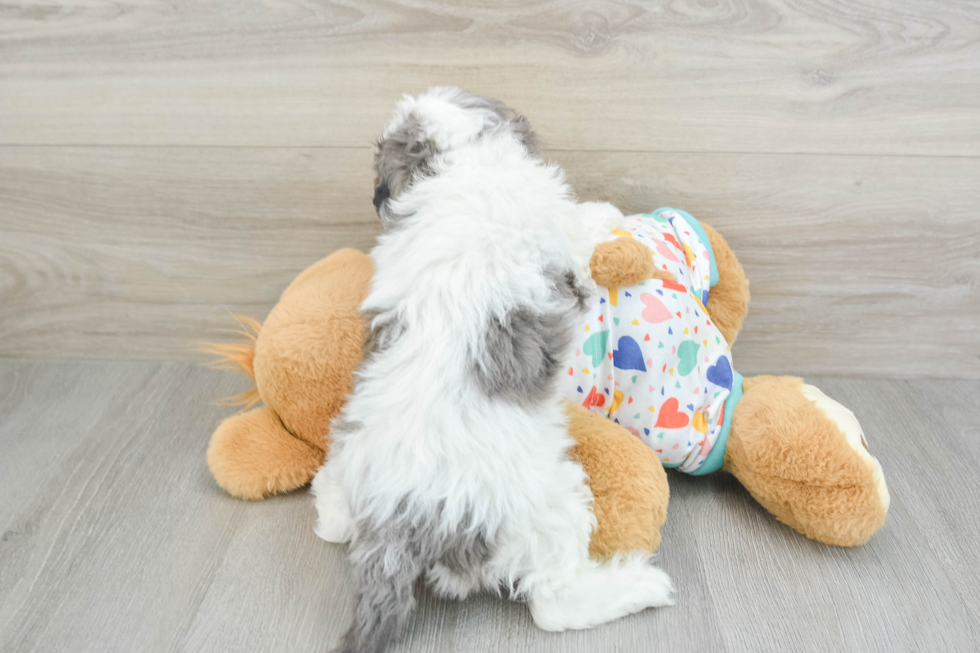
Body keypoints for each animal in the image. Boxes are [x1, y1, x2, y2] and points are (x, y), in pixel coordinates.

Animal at [314, 88, 672, 652]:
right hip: (550, 503)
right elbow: (582, 229)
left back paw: (331, 509)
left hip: (350, 445)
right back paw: (636, 585)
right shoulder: (557, 229)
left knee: (333, 510)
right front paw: (606, 212)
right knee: (552, 604)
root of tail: (400, 520)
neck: (460, 163)